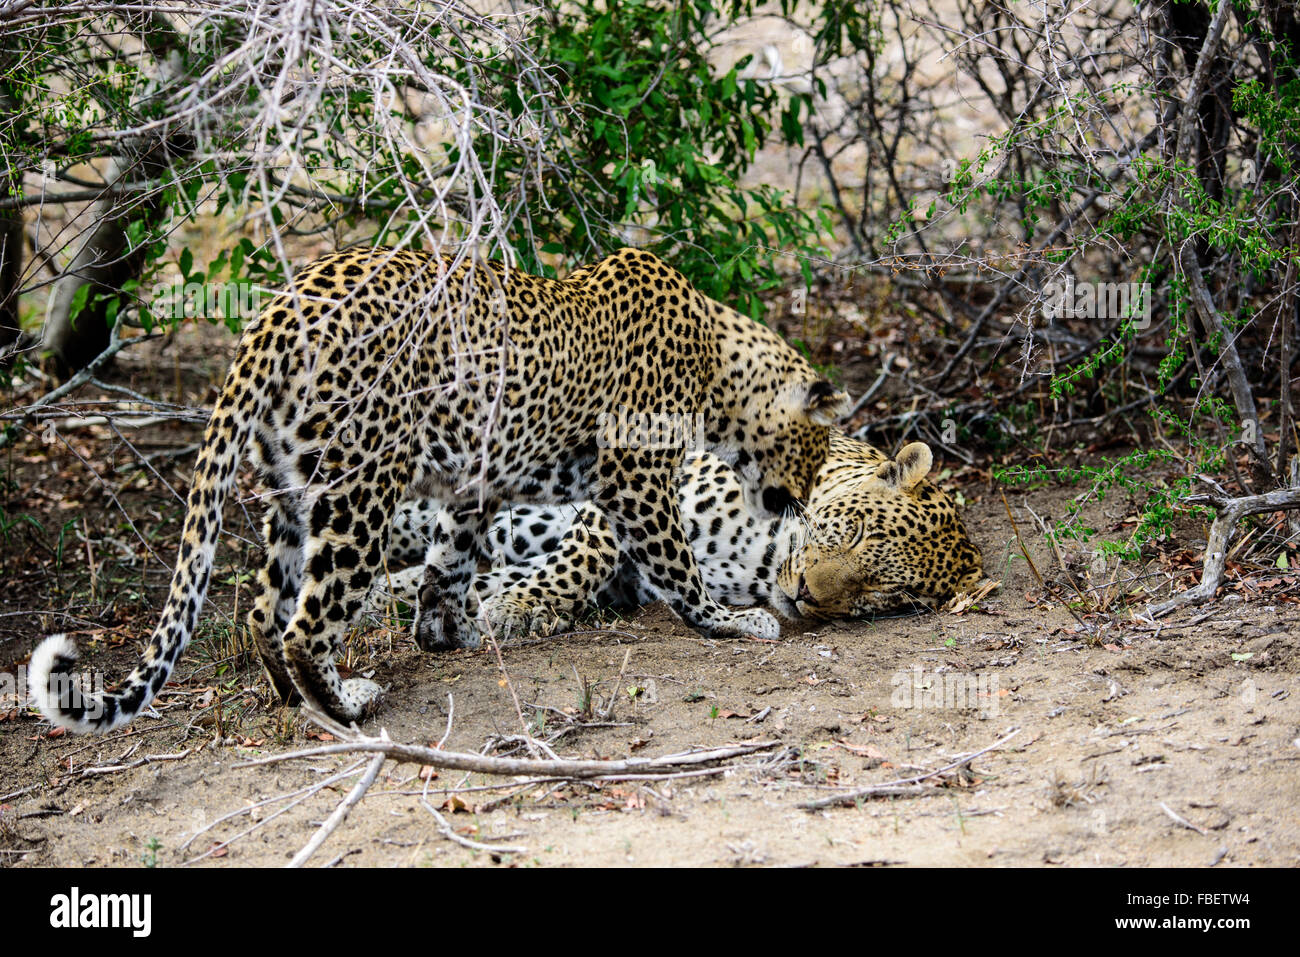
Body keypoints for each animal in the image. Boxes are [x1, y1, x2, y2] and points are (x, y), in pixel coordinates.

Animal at [28, 246, 848, 733]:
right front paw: (729, 621)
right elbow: (675, 561)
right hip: (358, 489)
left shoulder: (474, 484)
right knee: (308, 623)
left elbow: (448, 565)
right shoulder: (636, 475)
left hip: (290, 489)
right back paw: (348, 704)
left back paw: (297, 699)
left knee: (264, 611)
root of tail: (275, 314)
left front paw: (451, 632)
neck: (717, 363)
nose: (801, 501)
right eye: (818, 449)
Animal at [381, 428, 985, 632]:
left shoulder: (631, 585)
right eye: (854, 531)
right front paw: (524, 609)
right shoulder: (637, 484)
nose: (806, 594)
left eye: (884, 592)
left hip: (523, 528)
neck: (766, 555)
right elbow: (584, 556)